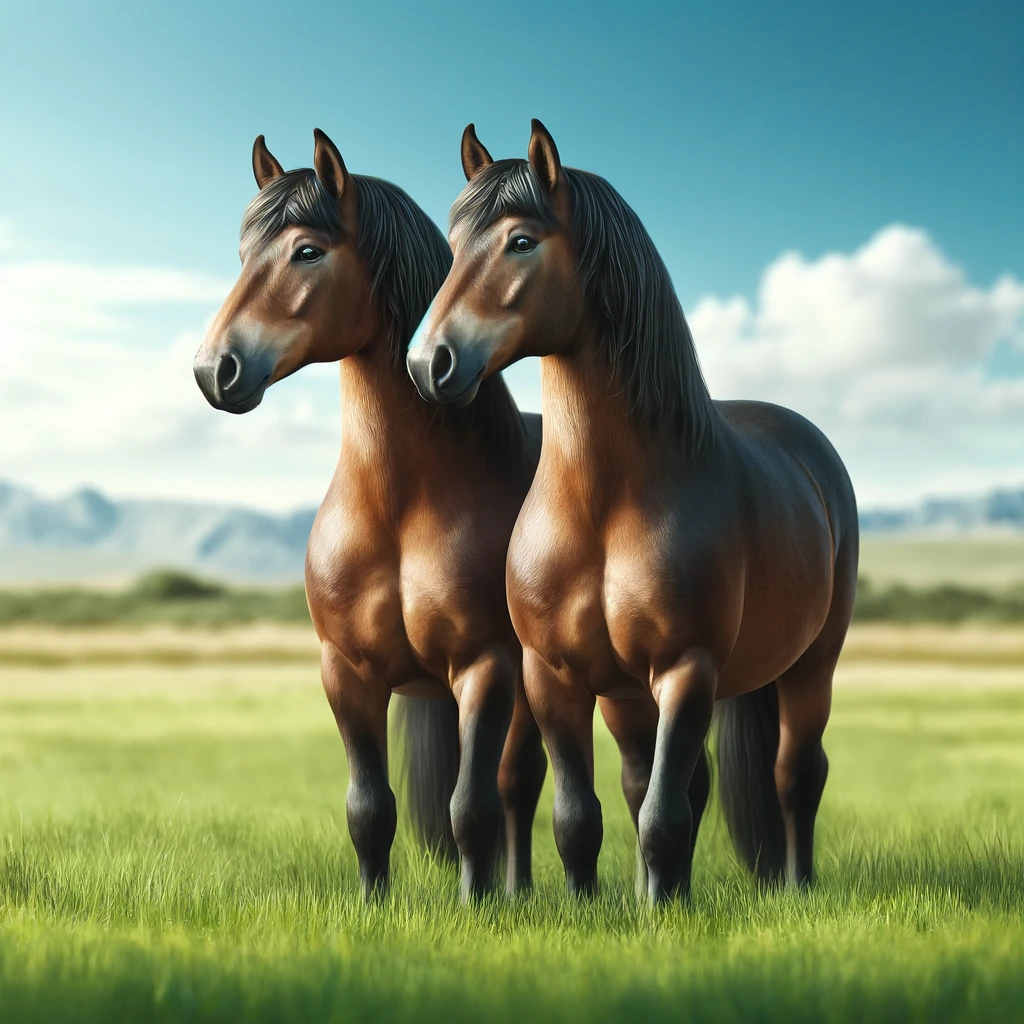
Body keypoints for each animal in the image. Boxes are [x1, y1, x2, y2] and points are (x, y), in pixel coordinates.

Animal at [193, 129, 547, 902]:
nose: (214, 371)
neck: (400, 504)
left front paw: (478, 908)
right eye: (242, 252)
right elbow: (369, 807)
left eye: (307, 251)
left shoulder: (487, 667)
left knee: (523, 780)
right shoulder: (346, 671)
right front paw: (374, 903)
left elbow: (473, 804)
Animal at [407, 120, 859, 904]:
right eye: (455, 241)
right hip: (628, 695)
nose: (430, 363)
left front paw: (663, 909)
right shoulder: (556, 677)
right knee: (663, 780)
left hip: (811, 666)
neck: (604, 505)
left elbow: (661, 814)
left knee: (796, 774)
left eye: (521, 240)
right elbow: (583, 812)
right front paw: (594, 906)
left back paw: (796, 885)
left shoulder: (686, 670)